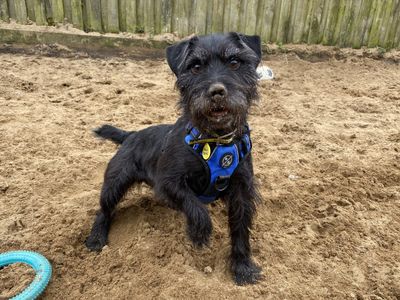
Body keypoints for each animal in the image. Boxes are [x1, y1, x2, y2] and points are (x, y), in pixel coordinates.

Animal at [85, 32, 262, 284]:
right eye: (195, 67)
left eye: (235, 62)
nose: (217, 92)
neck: (215, 140)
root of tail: (132, 135)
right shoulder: (168, 182)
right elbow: (194, 205)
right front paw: (199, 233)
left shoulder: (241, 191)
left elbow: (240, 230)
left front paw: (243, 267)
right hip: (115, 183)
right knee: (104, 209)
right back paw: (97, 237)